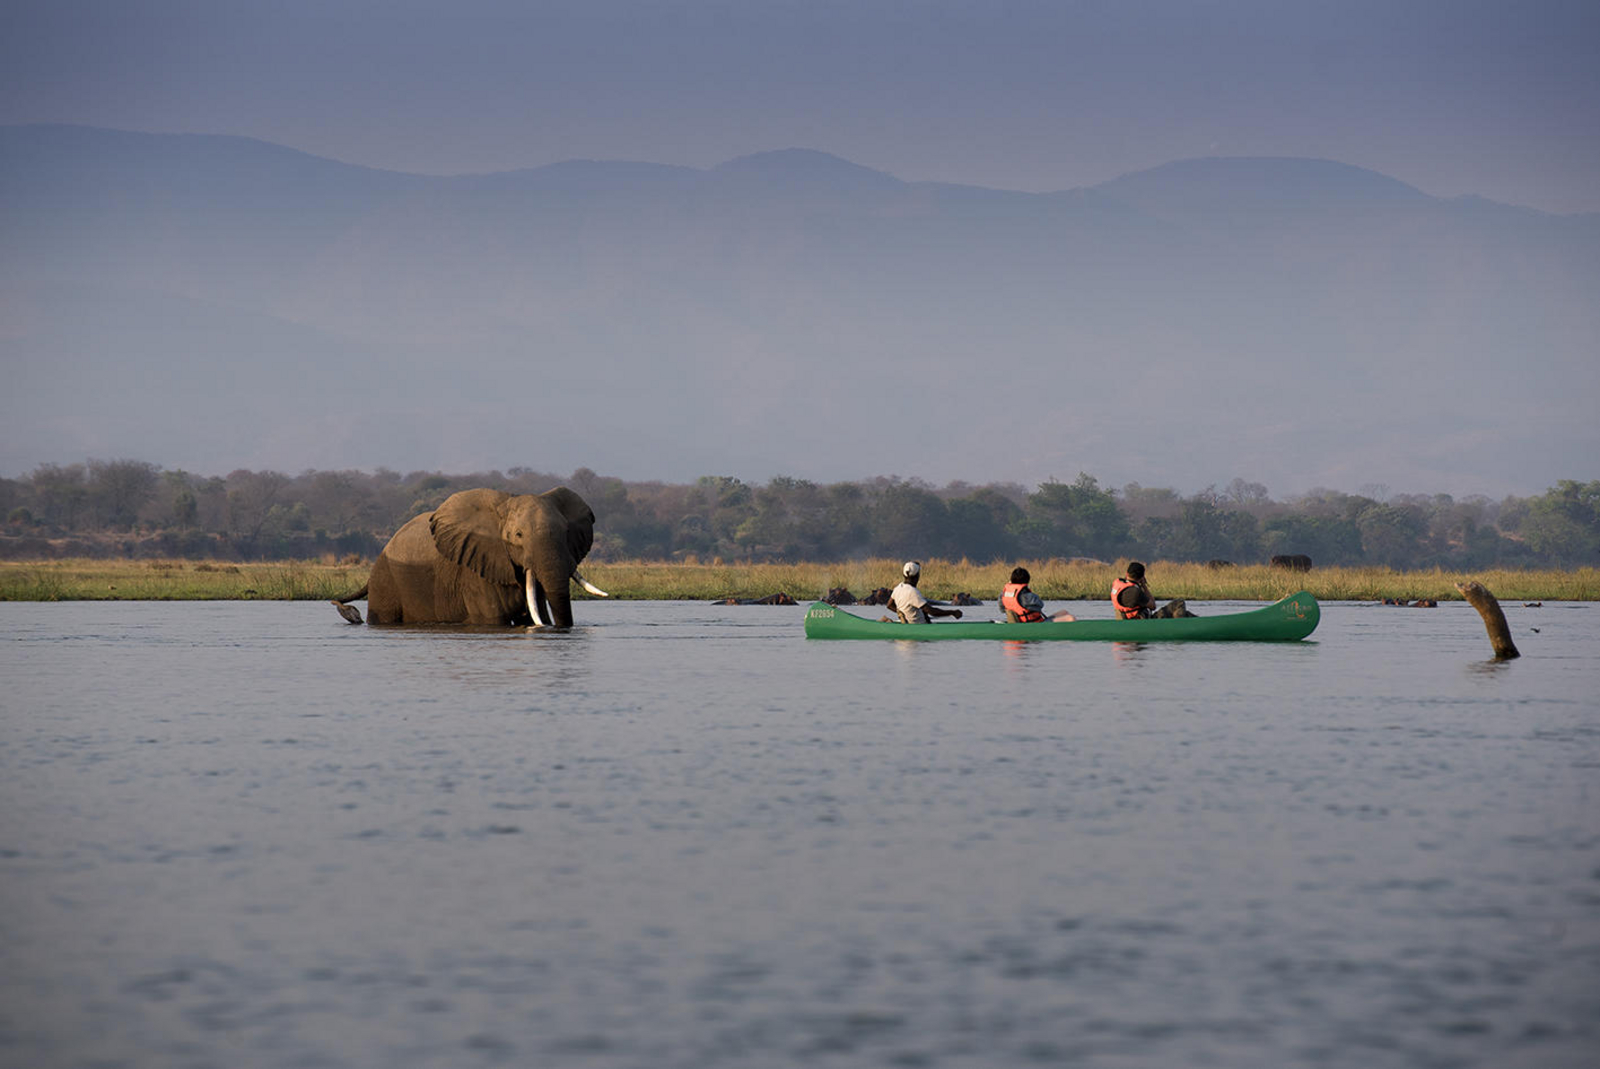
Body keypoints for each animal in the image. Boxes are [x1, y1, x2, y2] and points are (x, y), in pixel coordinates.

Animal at [332, 487, 607, 627]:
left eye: (567, 533)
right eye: (518, 535)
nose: (559, 628)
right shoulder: (475, 571)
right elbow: (493, 620)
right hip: (386, 581)